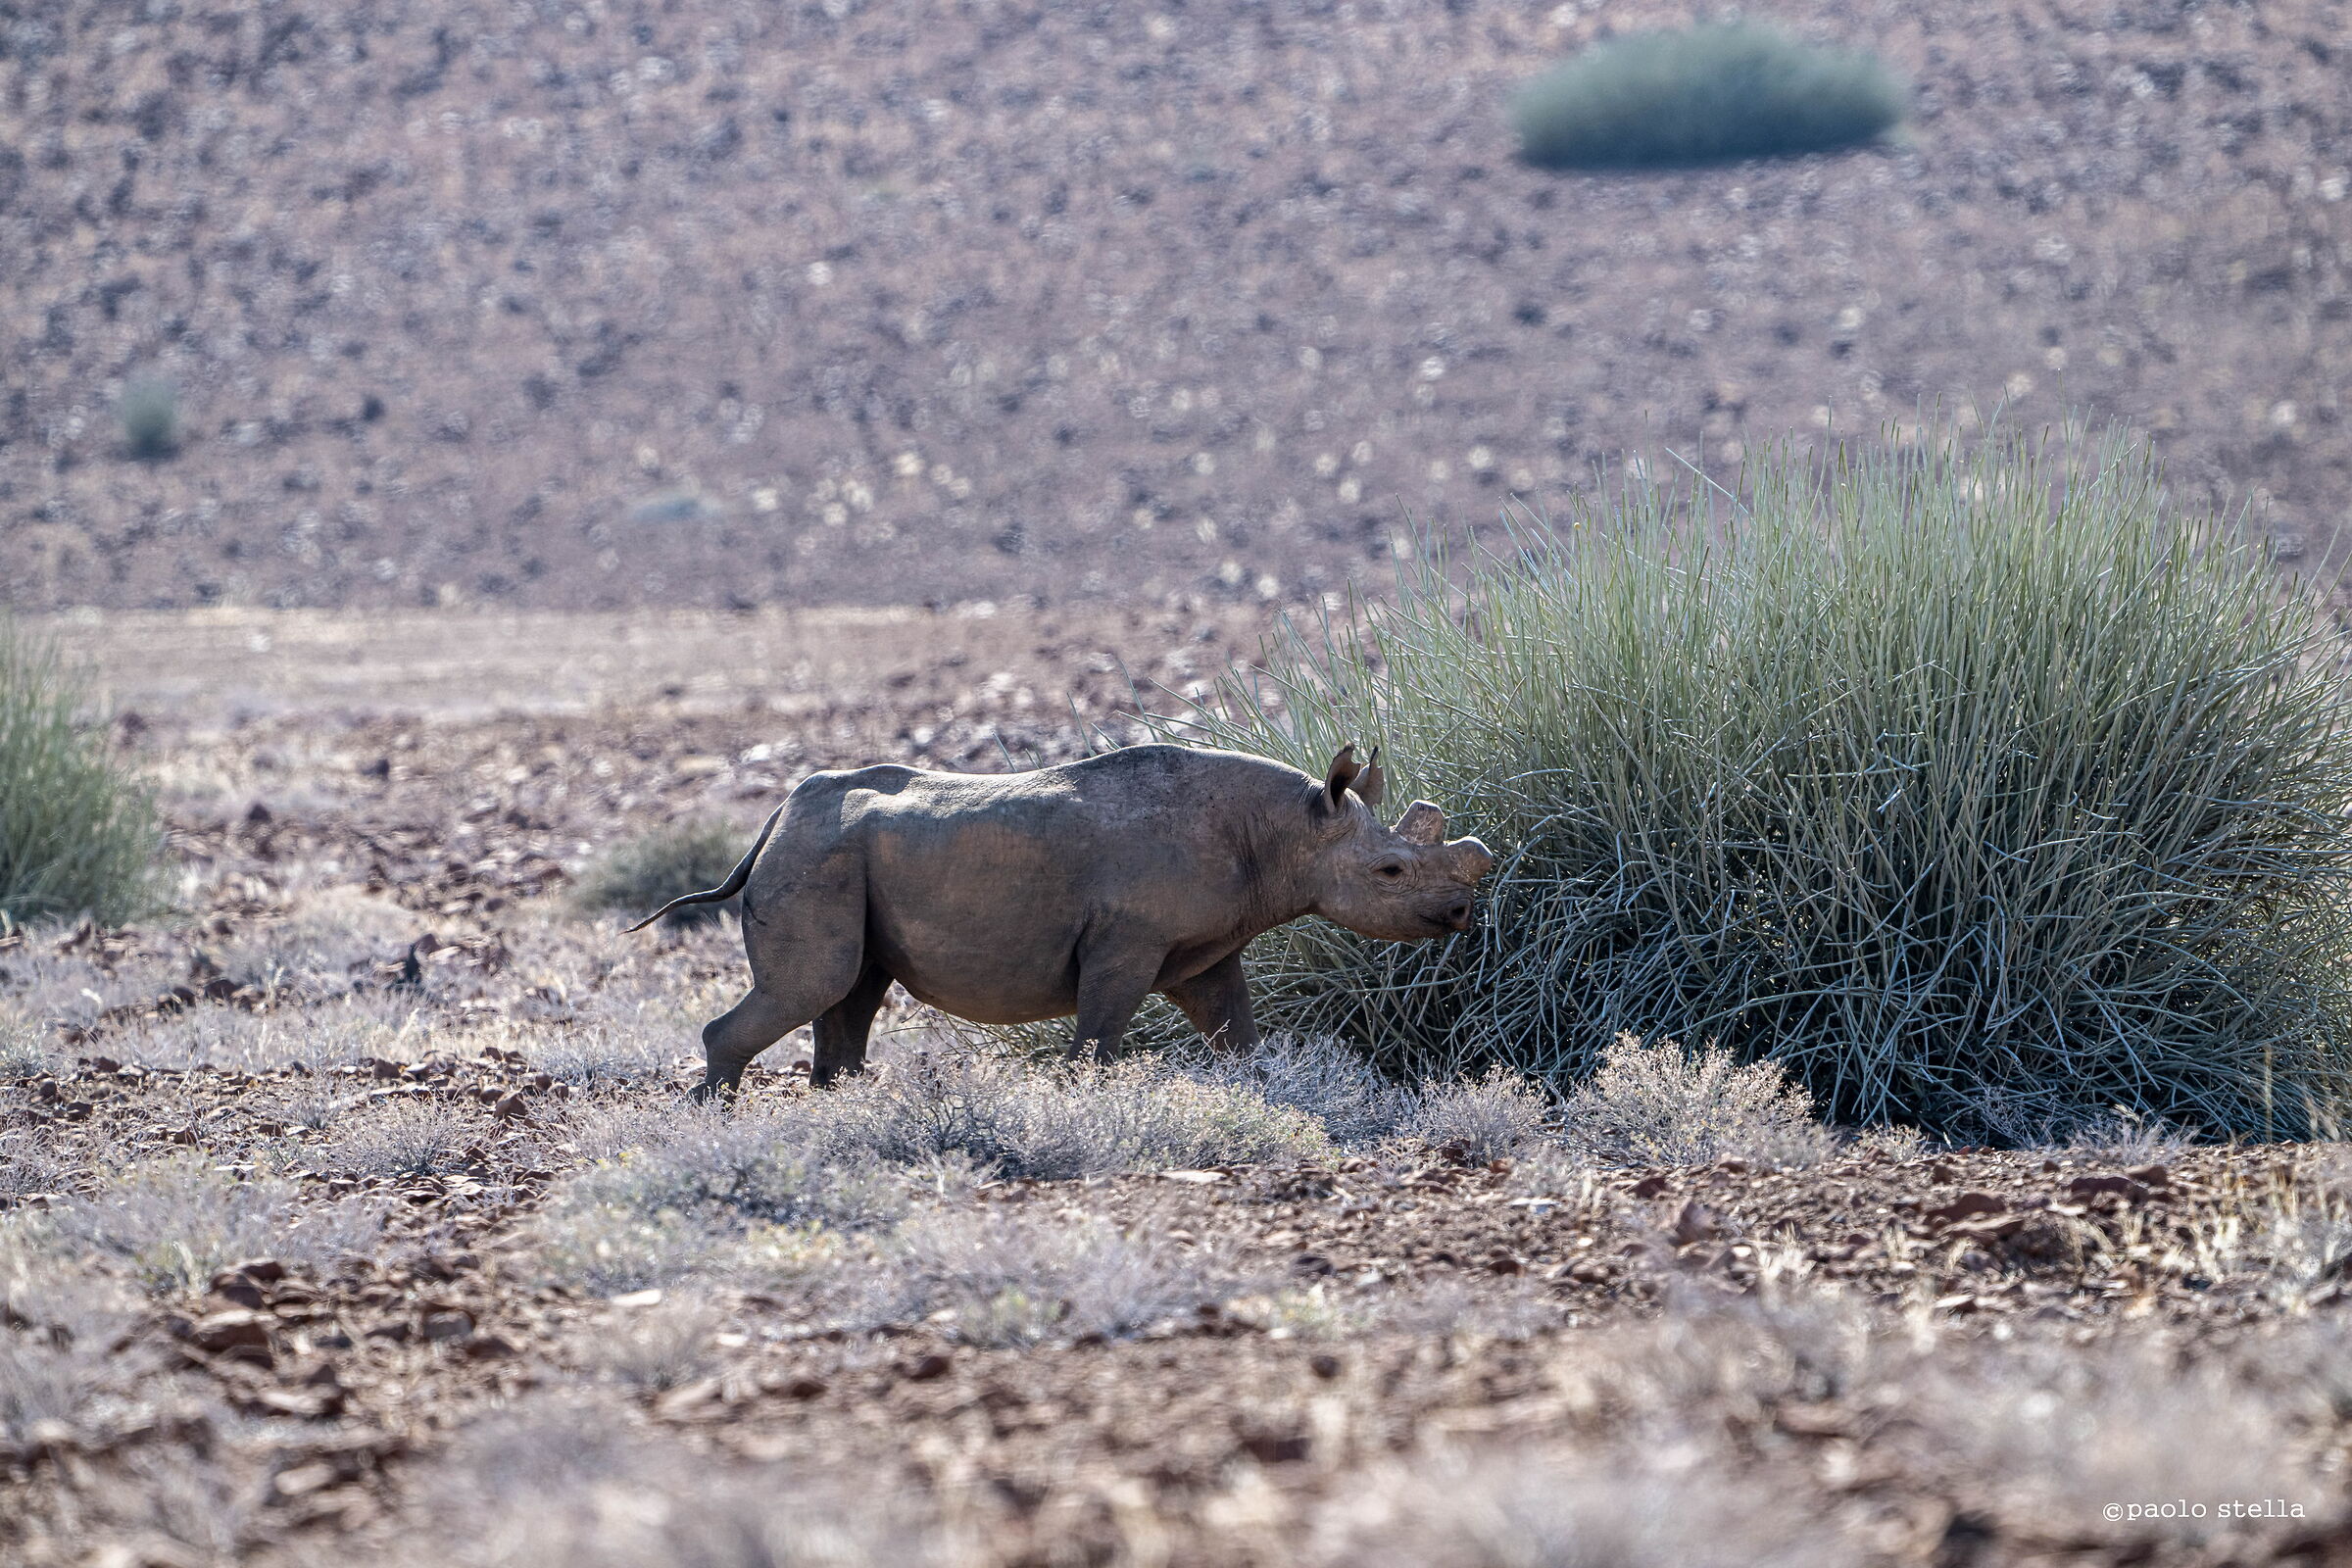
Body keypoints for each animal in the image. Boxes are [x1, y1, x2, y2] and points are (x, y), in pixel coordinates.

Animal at [630, 742, 1495, 1099]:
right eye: (1390, 873)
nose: (1461, 913)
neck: (1288, 830)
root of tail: (774, 817)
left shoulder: (1204, 949)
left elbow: (1235, 1031)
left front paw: (1262, 1086)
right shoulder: (1128, 941)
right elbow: (1099, 1037)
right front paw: (1081, 1102)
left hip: (833, 855)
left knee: (850, 994)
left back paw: (834, 1109)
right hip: (815, 855)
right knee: (815, 985)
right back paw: (712, 1121)